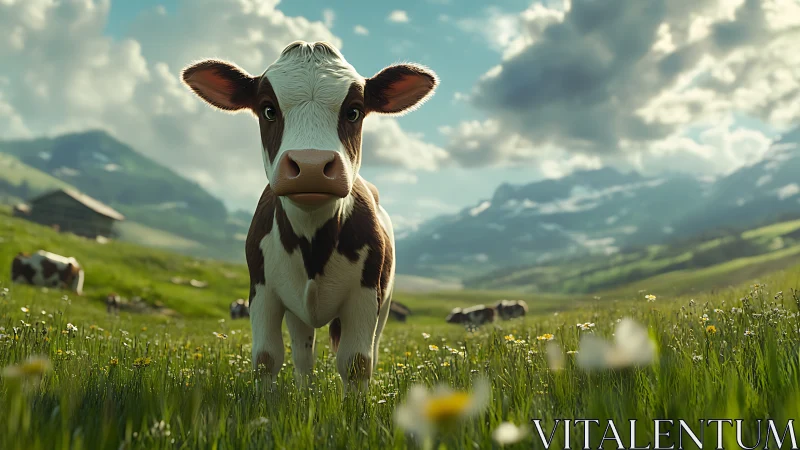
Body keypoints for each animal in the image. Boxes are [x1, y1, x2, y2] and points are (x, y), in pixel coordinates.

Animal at [181, 41, 437, 393]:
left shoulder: (365, 295)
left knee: (370, 349)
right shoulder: (262, 291)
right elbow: (266, 358)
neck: (312, 239)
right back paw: (304, 391)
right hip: (298, 310)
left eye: (354, 111)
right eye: (268, 109)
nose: (311, 165)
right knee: (304, 355)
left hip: (384, 304)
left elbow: (357, 362)